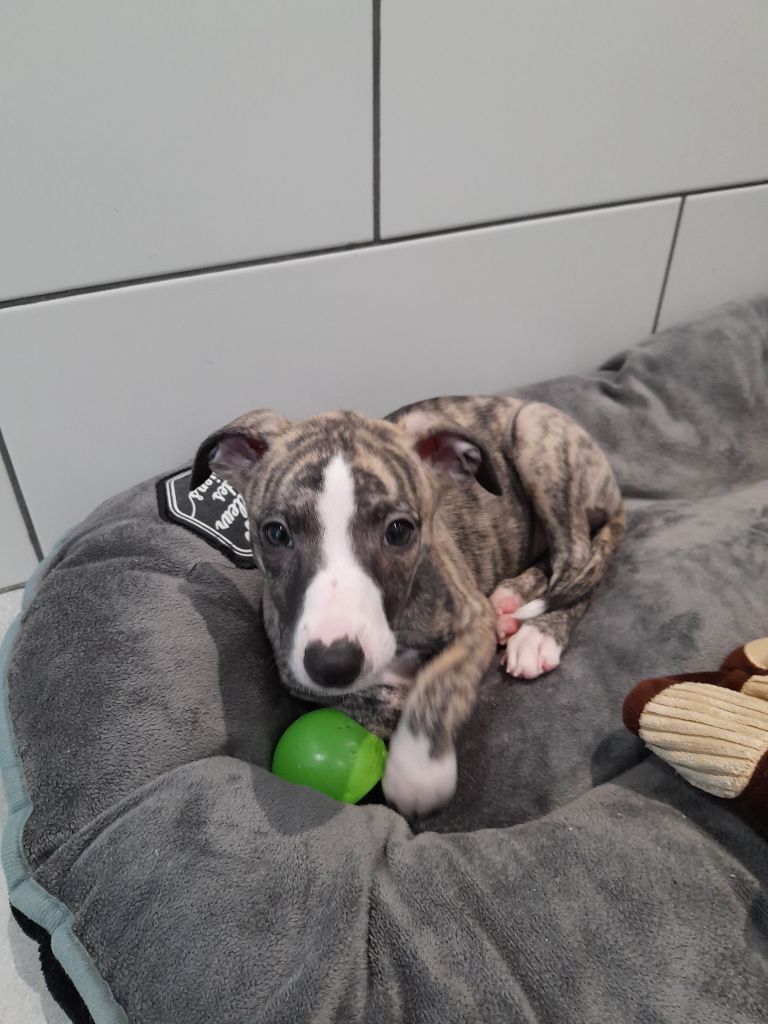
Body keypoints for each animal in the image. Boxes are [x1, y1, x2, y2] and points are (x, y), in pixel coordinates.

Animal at [191, 396, 624, 816]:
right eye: (276, 533)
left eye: (399, 531)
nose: (335, 663)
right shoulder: (293, 665)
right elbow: (374, 698)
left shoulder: (471, 620)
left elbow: (435, 688)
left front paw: (418, 771)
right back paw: (511, 597)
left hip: (534, 434)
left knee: (576, 561)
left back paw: (536, 634)